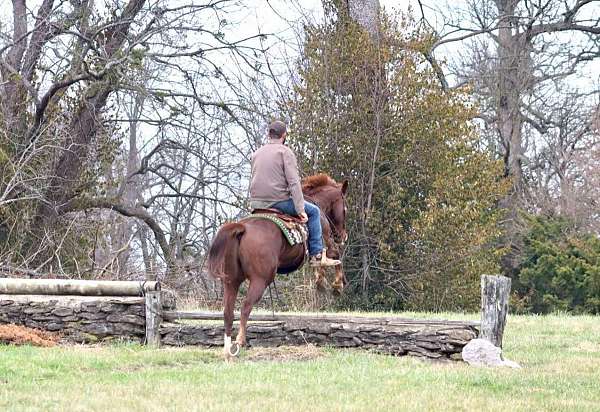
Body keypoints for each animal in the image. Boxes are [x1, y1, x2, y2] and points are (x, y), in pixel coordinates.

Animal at [206, 174, 346, 358]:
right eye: (345, 209)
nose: (343, 236)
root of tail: (242, 228)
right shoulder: (326, 239)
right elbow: (335, 256)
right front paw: (336, 285)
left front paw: (321, 282)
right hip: (260, 280)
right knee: (245, 306)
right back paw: (240, 341)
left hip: (231, 281)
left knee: (228, 312)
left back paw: (228, 350)